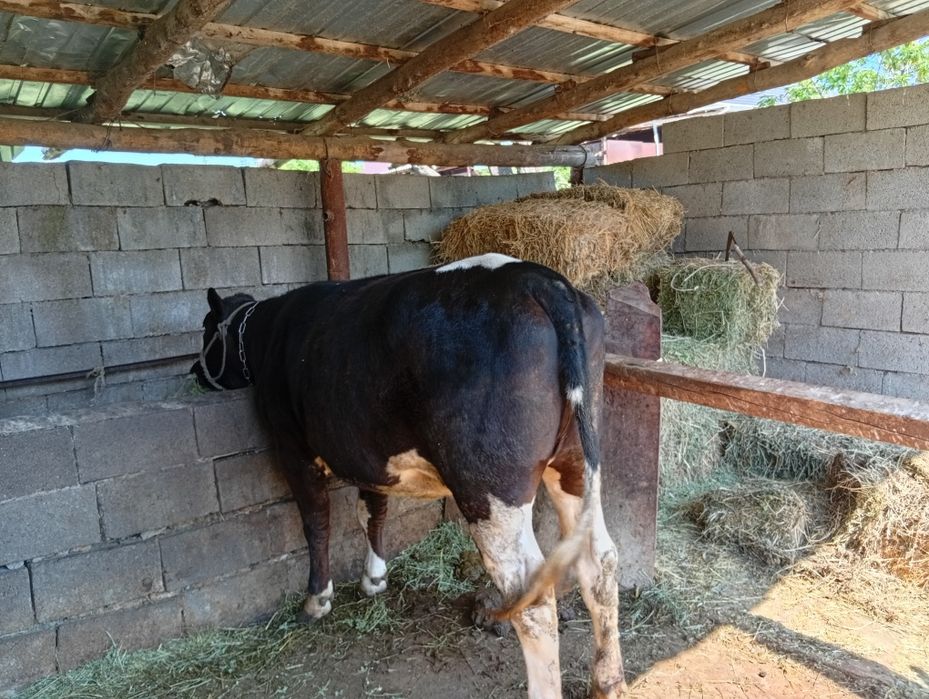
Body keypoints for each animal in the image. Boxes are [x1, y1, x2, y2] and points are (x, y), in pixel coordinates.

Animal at [191, 253, 626, 698]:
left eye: (206, 328)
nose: (194, 371)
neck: (270, 333)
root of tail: (540, 279)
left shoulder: (292, 446)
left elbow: (316, 522)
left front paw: (317, 600)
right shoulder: (367, 454)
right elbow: (373, 510)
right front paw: (374, 578)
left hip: (489, 485)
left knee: (532, 596)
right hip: (575, 462)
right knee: (601, 561)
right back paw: (608, 680)